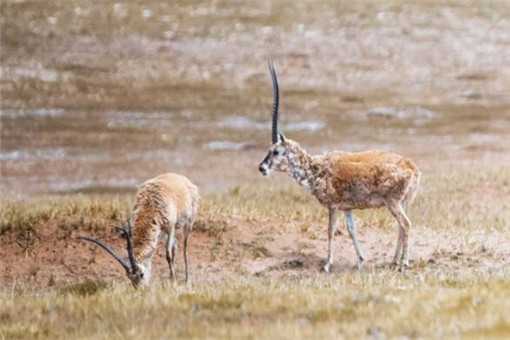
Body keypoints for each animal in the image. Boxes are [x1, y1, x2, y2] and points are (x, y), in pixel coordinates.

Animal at [258, 61, 422, 272]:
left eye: (276, 151)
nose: (262, 168)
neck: (317, 168)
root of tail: (411, 167)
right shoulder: (347, 208)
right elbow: (352, 229)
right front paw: (360, 260)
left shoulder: (333, 206)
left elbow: (330, 230)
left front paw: (327, 264)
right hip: (403, 202)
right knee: (401, 228)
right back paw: (394, 261)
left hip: (393, 203)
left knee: (406, 224)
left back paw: (404, 263)